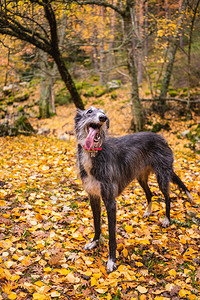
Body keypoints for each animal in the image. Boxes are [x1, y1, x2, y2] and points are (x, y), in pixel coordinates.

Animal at [74, 106, 192, 274]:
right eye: (89, 111)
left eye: (103, 113)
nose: (103, 118)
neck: (94, 153)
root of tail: (161, 137)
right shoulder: (93, 196)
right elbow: (96, 223)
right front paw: (94, 242)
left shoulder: (110, 201)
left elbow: (112, 235)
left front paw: (111, 261)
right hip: (141, 176)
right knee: (150, 194)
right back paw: (148, 212)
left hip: (162, 174)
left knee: (167, 197)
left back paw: (166, 220)